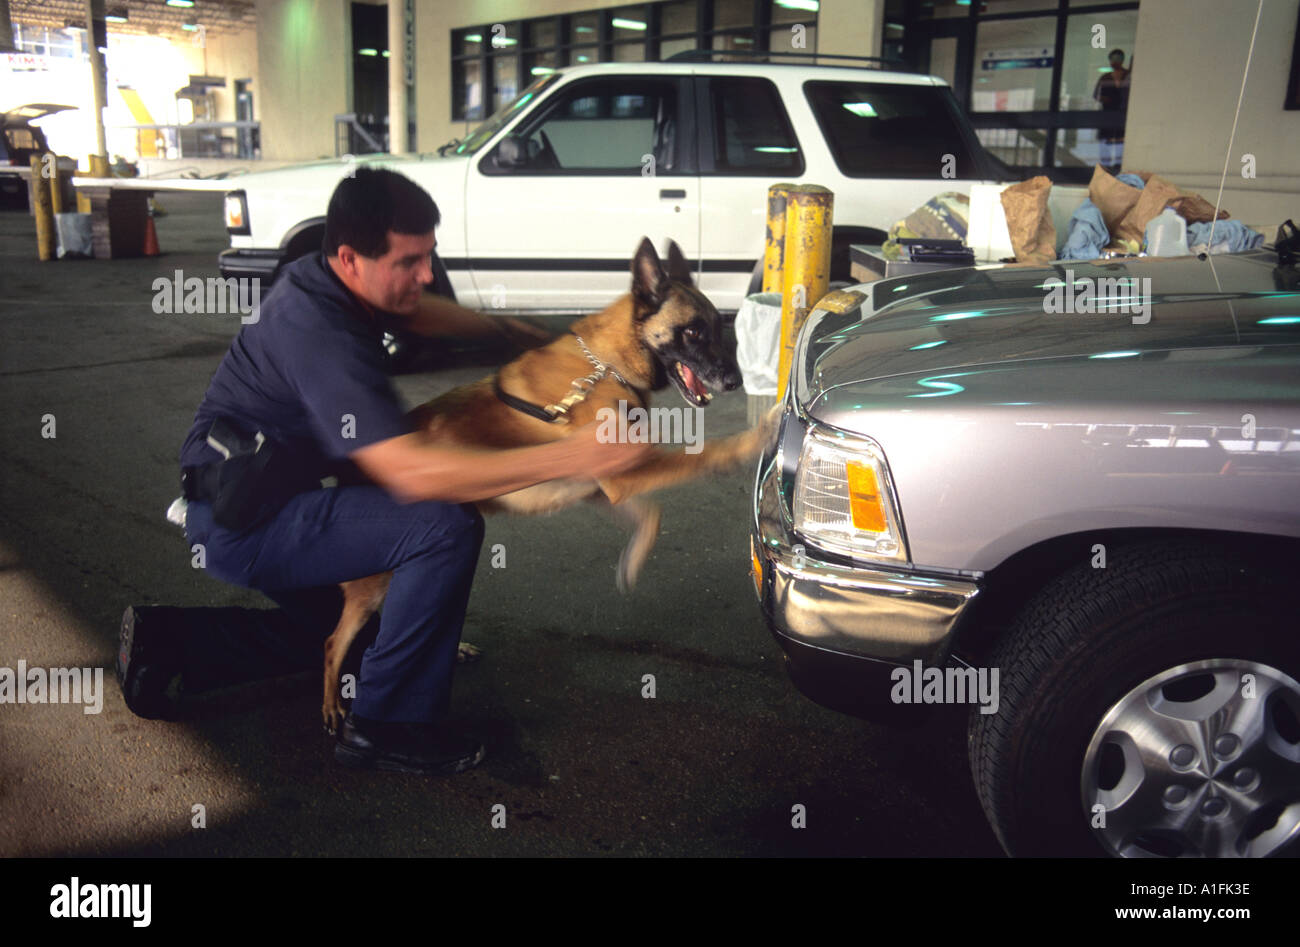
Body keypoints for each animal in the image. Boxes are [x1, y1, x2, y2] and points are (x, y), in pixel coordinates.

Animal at [319, 236, 774, 733]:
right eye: (693, 332)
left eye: (715, 327)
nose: (734, 381)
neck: (607, 365)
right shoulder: (623, 475)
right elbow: (705, 454)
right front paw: (754, 438)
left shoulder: (602, 488)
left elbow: (651, 514)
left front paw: (631, 562)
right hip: (374, 582)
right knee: (334, 642)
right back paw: (333, 704)